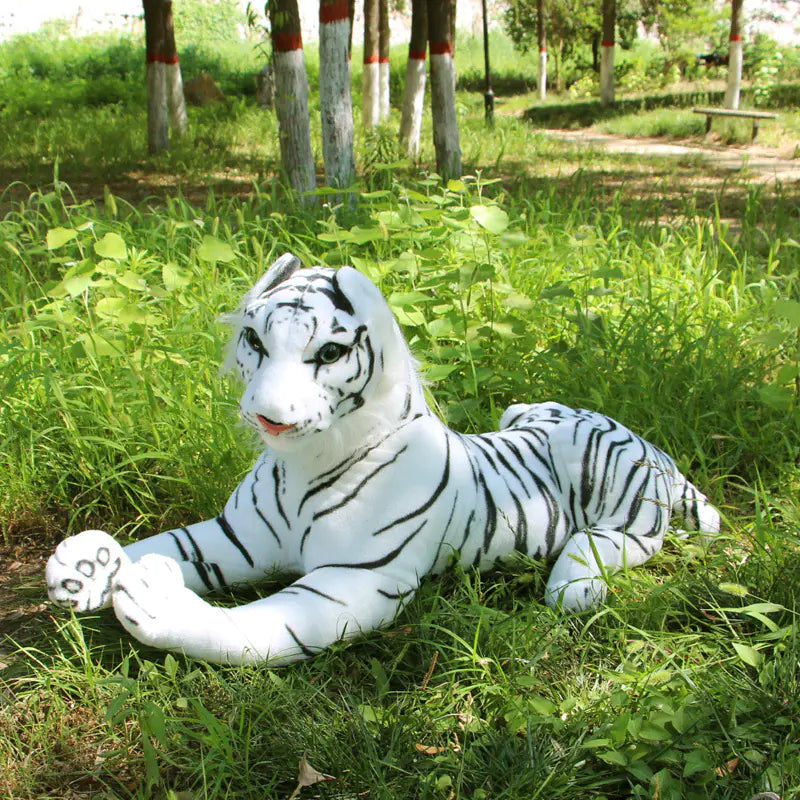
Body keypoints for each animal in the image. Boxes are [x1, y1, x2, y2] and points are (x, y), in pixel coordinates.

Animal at [46, 253, 721, 665]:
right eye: (255, 340)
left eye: (328, 352)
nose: (266, 416)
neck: (300, 466)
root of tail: (653, 448)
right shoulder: (240, 536)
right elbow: (168, 542)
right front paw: (89, 565)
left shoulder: (351, 584)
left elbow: (255, 629)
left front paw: (152, 597)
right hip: (525, 412)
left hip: (623, 500)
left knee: (618, 544)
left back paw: (573, 585)